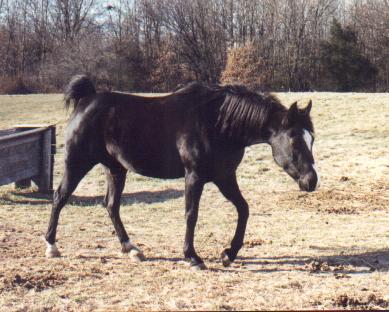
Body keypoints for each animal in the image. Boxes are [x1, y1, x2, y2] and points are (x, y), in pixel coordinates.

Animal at [45, 75, 318, 268]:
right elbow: (191, 215)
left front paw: (229, 253)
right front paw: (192, 257)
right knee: (60, 197)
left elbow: (243, 209)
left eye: (311, 138)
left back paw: (131, 249)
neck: (217, 123)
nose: (312, 181)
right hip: (77, 164)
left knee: (111, 206)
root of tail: (87, 100)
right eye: (294, 139)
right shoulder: (194, 177)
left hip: (115, 170)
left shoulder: (224, 177)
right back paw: (51, 246)